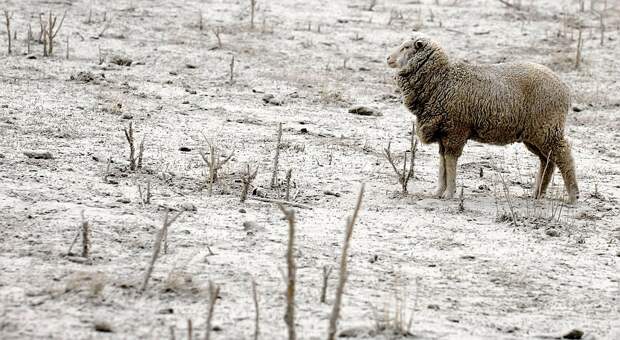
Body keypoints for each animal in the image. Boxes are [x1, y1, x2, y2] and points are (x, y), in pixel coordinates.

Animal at [390, 34, 580, 203]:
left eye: (406, 47)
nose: (388, 58)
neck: (442, 79)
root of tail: (565, 89)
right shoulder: (444, 132)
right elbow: (443, 163)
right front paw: (438, 192)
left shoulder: (455, 130)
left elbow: (450, 162)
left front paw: (449, 193)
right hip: (535, 133)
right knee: (547, 160)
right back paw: (537, 194)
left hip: (547, 127)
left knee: (564, 155)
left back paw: (573, 196)